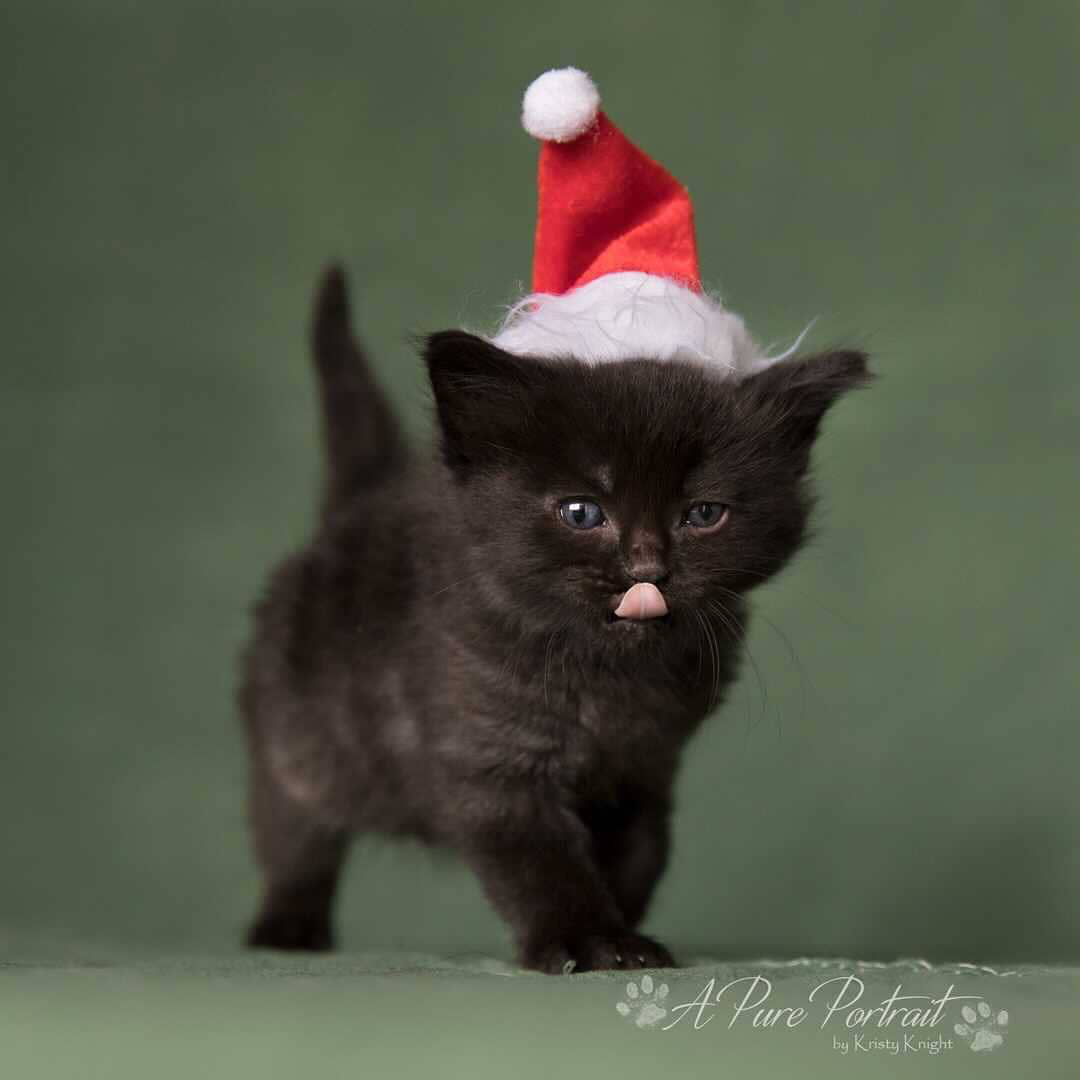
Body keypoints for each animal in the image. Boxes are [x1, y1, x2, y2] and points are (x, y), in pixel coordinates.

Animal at [238, 265, 868, 976]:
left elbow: (639, 856)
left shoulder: (642, 771)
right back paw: (287, 926)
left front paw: (624, 931)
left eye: (704, 514)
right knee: (293, 832)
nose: (646, 566)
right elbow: (540, 861)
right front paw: (588, 940)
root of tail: (360, 502)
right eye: (582, 512)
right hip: (297, 739)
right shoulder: (489, 757)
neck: (607, 681)